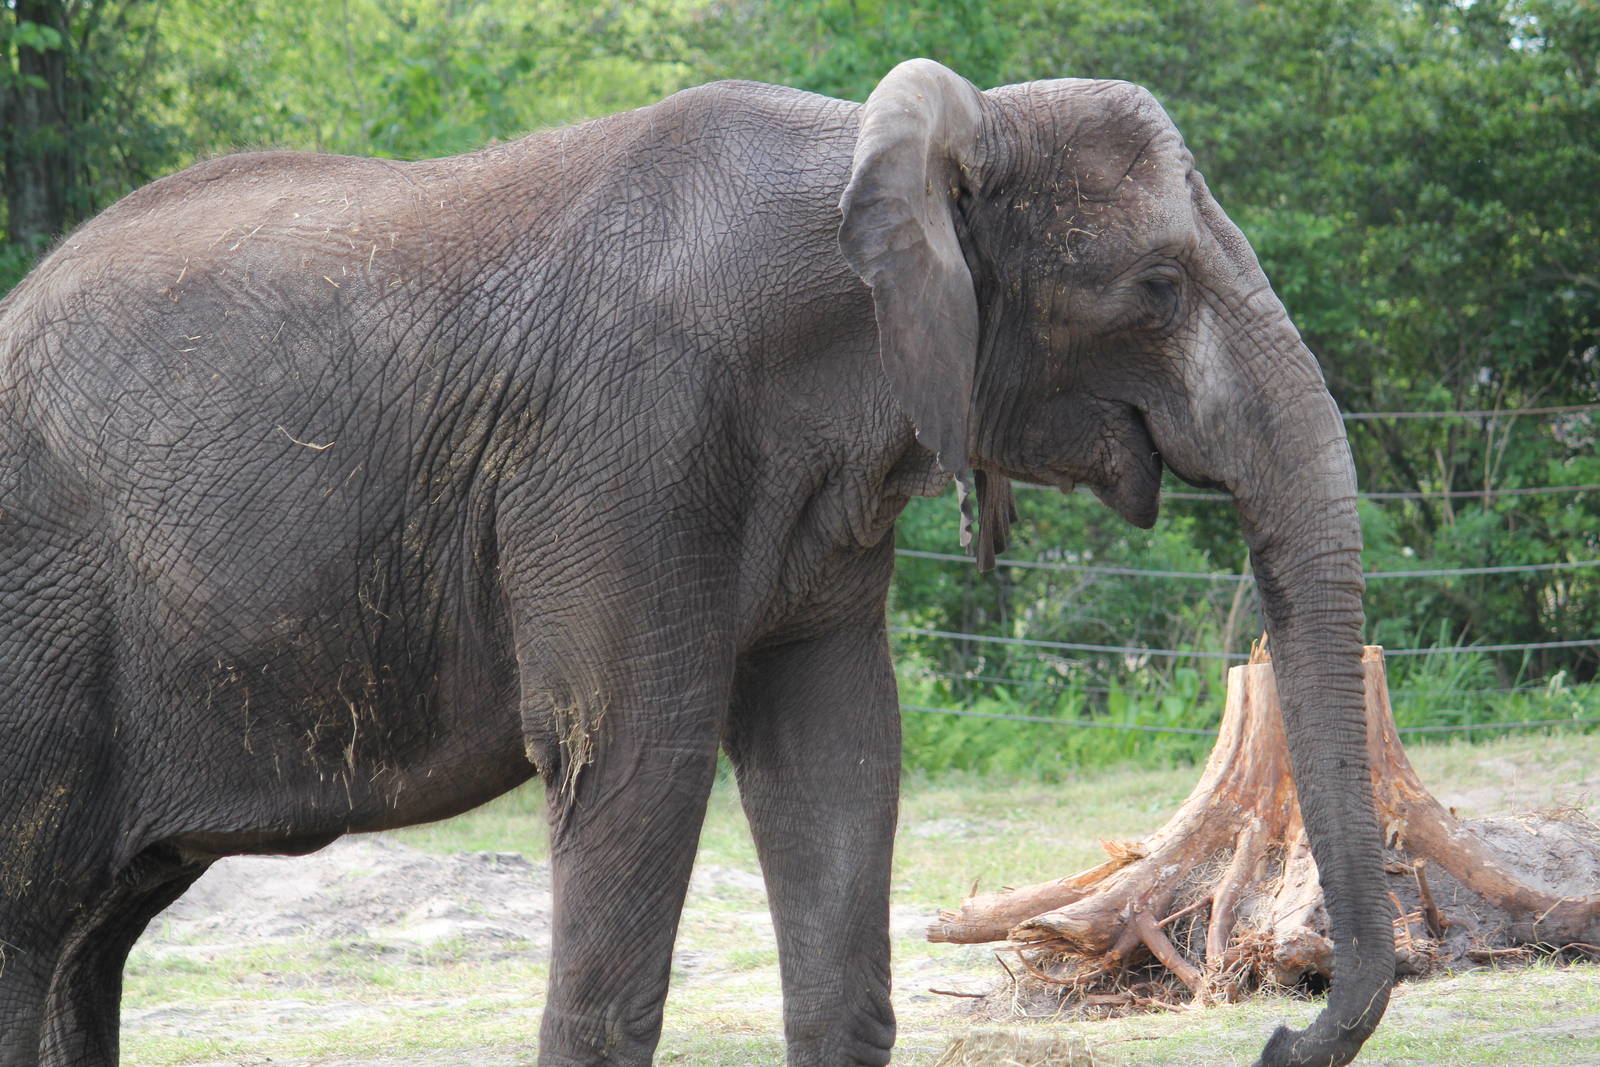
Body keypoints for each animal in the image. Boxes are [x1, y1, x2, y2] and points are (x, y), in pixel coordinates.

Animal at [0, 59, 1392, 1066]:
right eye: (1156, 286)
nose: (1276, 1029)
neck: (871, 157)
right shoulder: (622, 446)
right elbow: (635, 756)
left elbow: (838, 751)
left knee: (88, 936)